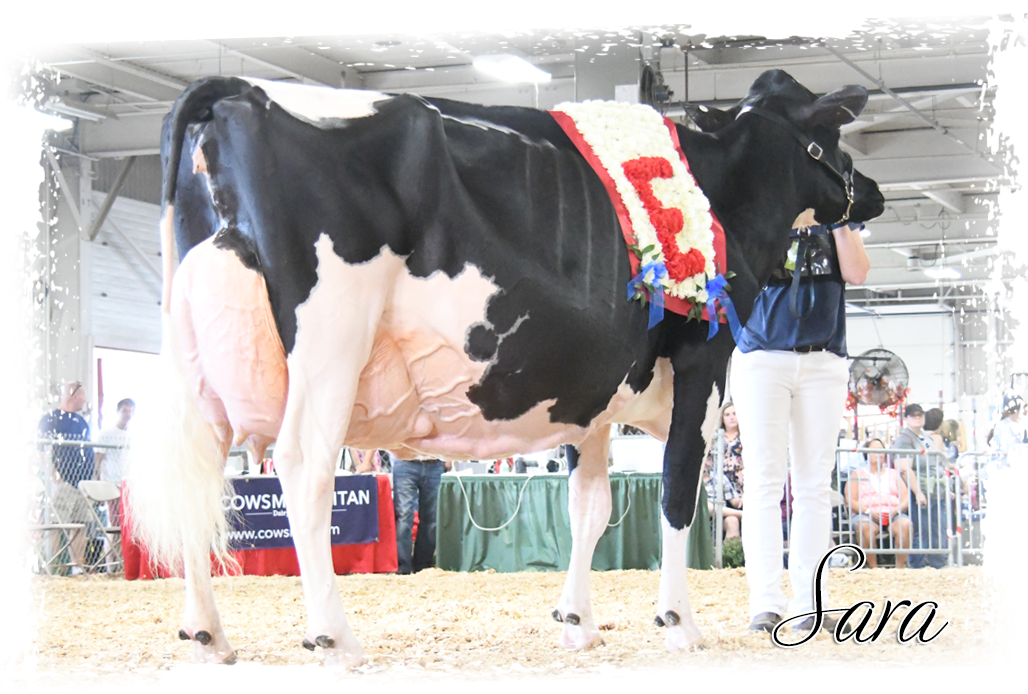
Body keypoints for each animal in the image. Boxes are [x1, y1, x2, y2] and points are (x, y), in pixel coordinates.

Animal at [128, 69, 884, 667]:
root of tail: (242, 88)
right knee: (303, 466)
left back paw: (207, 632)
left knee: (200, 472)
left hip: (199, 353)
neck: (724, 183)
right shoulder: (703, 360)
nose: (872, 192)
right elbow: (675, 493)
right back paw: (334, 636)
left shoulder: (593, 395)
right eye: (831, 137)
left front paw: (577, 622)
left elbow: (590, 507)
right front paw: (679, 622)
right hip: (331, 335)